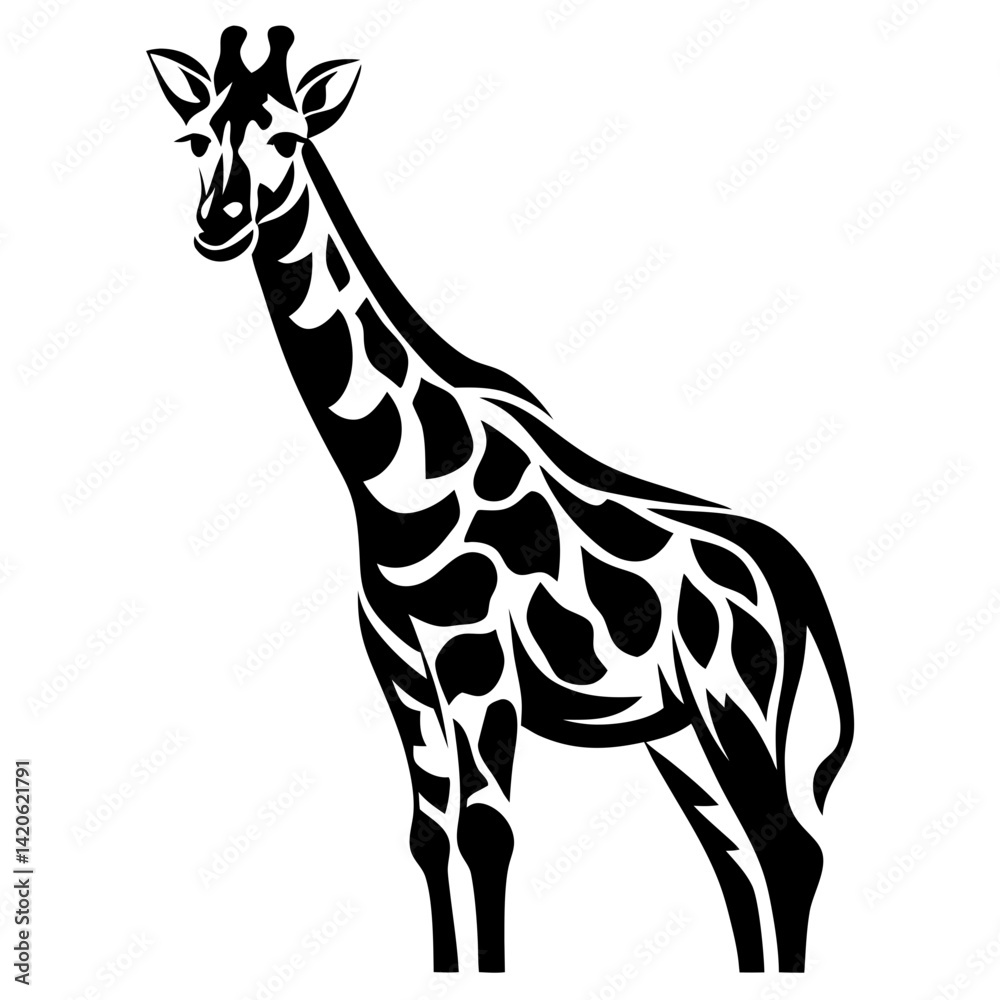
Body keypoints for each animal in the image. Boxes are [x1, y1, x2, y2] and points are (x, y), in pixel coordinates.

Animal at [148, 26, 854, 974]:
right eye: (196, 139)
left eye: (289, 139)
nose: (219, 225)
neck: (389, 479)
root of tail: (793, 576)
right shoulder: (405, 675)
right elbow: (428, 836)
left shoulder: (476, 665)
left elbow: (486, 834)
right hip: (676, 729)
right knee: (734, 854)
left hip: (733, 698)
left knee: (787, 847)